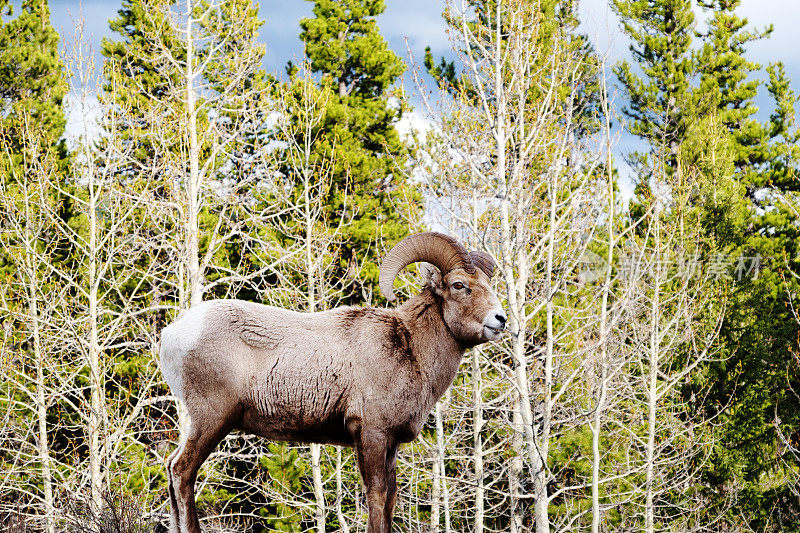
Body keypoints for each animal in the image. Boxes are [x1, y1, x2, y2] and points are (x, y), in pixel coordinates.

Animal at [159, 233, 504, 532]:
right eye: (459, 285)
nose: (499, 319)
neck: (410, 348)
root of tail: (172, 333)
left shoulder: (390, 443)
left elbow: (390, 500)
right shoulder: (372, 433)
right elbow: (377, 496)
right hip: (212, 419)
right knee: (182, 471)